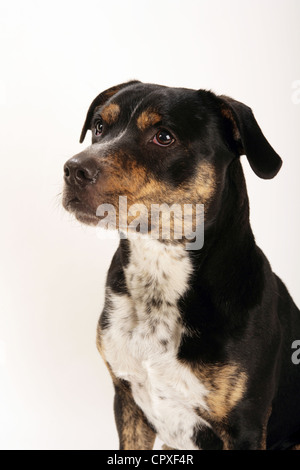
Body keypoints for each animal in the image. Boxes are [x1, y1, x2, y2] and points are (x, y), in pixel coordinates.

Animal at [62, 81, 300, 452]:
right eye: (99, 127)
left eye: (164, 137)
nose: (74, 169)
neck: (159, 272)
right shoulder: (128, 403)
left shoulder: (245, 425)